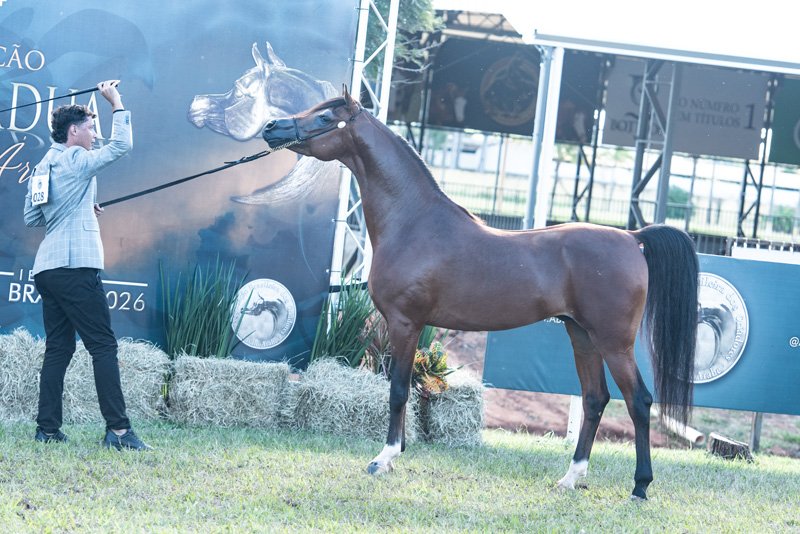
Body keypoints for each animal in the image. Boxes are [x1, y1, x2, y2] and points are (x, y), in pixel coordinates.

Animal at [261, 88, 699, 501]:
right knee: (594, 400)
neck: (414, 223)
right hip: (582, 335)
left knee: (639, 401)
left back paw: (640, 486)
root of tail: (632, 237)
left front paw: (384, 458)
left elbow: (399, 390)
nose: (271, 127)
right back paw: (570, 478)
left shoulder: (405, 323)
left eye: (324, 117)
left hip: (613, 342)